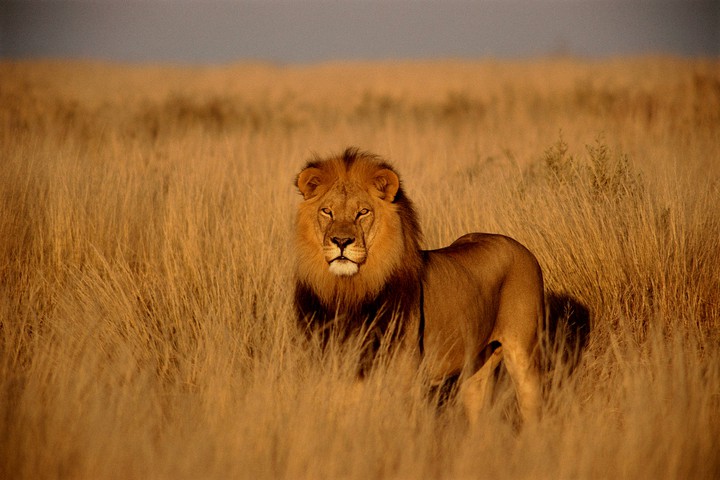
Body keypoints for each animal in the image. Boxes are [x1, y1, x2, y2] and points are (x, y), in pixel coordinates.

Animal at [294, 148, 543, 423]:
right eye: (327, 211)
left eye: (363, 212)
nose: (340, 241)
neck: (350, 291)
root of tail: (520, 247)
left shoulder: (404, 379)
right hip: (477, 366)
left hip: (524, 355)